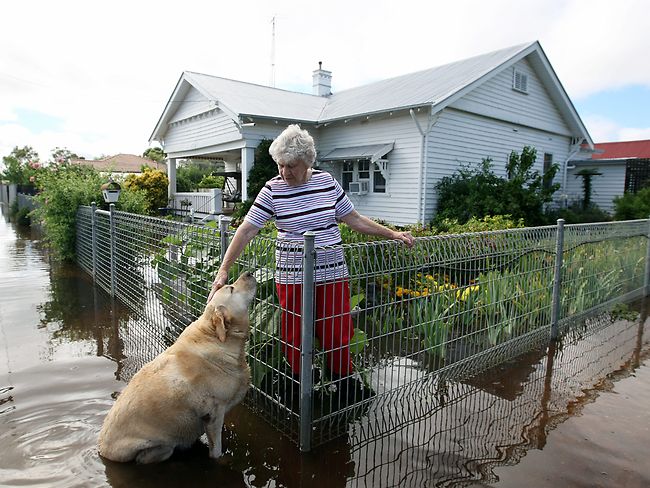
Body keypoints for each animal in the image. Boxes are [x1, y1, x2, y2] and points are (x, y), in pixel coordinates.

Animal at [98, 272, 256, 464]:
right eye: (231, 288)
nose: (249, 273)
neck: (215, 337)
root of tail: (102, 451)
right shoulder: (214, 412)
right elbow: (216, 450)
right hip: (156, 446)